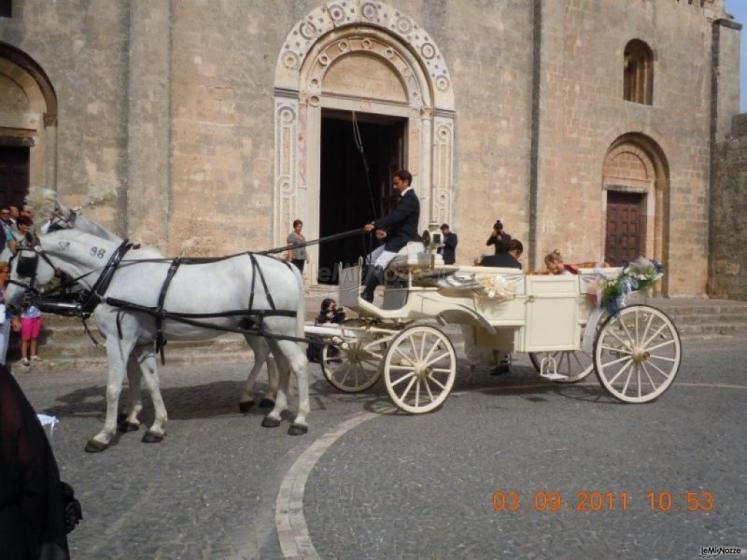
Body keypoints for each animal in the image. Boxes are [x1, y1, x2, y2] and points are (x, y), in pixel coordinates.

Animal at [6, 228, 310, 450]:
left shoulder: (118, 340)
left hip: (276, 326)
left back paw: (299, 420)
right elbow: (149, 382)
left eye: (23, 264)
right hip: (269, 329)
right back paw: (274, 412)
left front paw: (105, 434)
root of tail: (286, 266)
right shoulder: (140, 343)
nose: (9, 300)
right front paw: (155, 425)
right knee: (280, 363)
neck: (116, 275)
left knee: (299, 364)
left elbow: (114, 387)